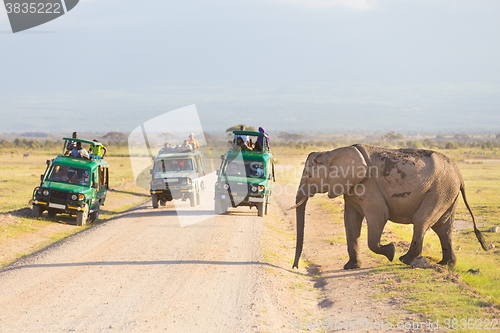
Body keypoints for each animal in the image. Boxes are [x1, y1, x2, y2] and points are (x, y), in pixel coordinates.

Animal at [290, 144, 488, 268]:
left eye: (309, 175)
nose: (295, 267)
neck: (332, 152)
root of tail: (460, 175)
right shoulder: (352, 188)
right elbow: (350, 221)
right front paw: (350, 267)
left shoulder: (369, 186)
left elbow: (379, 216)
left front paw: (390, 251)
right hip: (447, 192)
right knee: (443, 228)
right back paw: (446, 265)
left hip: (439, 190)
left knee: (422, 220)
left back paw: (404, 259)